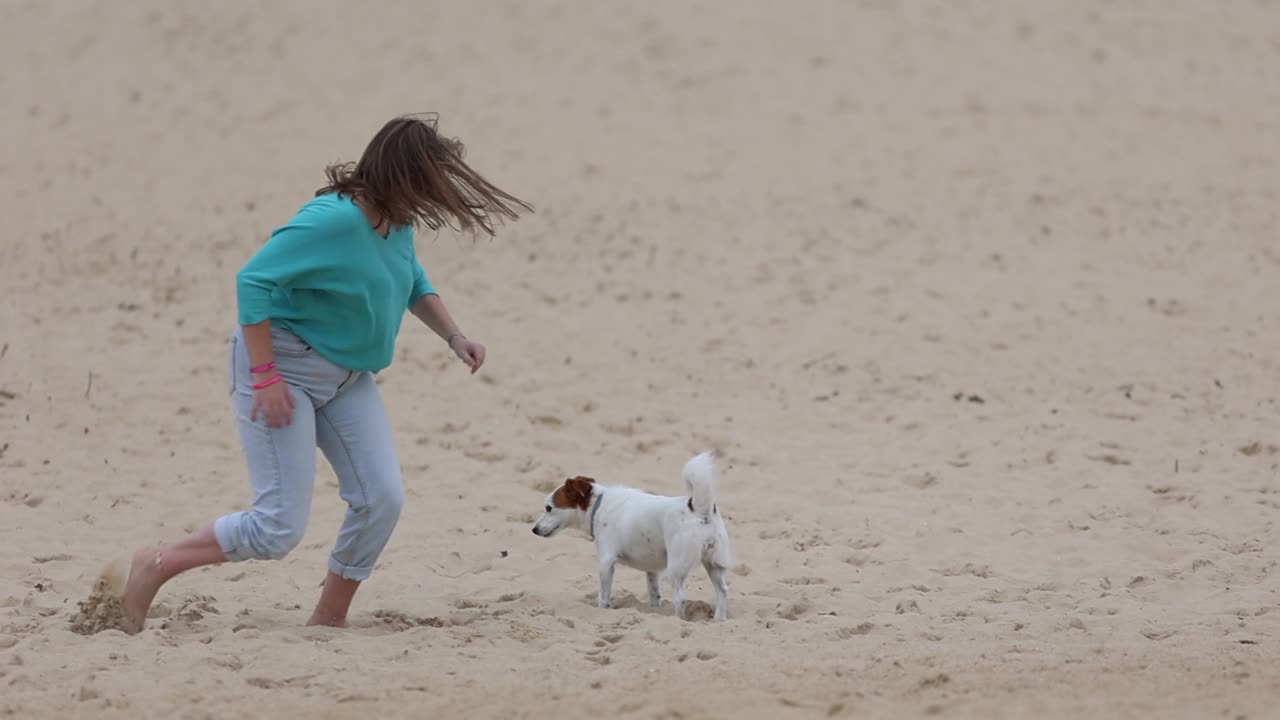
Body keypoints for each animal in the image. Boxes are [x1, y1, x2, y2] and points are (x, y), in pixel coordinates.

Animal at [527, 448, 732, 617]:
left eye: (549, 508)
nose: (534, 530)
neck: (598, 506)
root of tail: (699, 509)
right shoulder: (652, 570)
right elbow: (654, 595)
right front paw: (654, 611)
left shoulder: (606, 562)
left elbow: (603, 596)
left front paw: (603, 609)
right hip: (713, 564)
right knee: (722, 591)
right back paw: (719, 620)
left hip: (676, 567)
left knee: (681, 597)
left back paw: (677, 620)